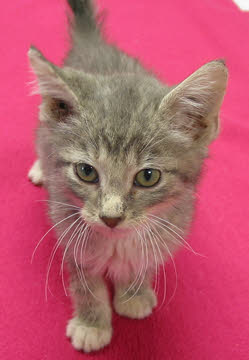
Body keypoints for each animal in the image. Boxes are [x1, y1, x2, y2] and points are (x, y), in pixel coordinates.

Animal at [27, 0, 228, 354]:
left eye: (148, 177)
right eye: (86, 172)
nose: (111, 217)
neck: (116, 242)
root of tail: (93, 44)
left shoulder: (169, 227)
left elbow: (143, 261)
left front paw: (134, 292)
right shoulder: (69, 231)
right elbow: (85, 283)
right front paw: (92, 324)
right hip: (45, 128)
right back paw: (41, 167)